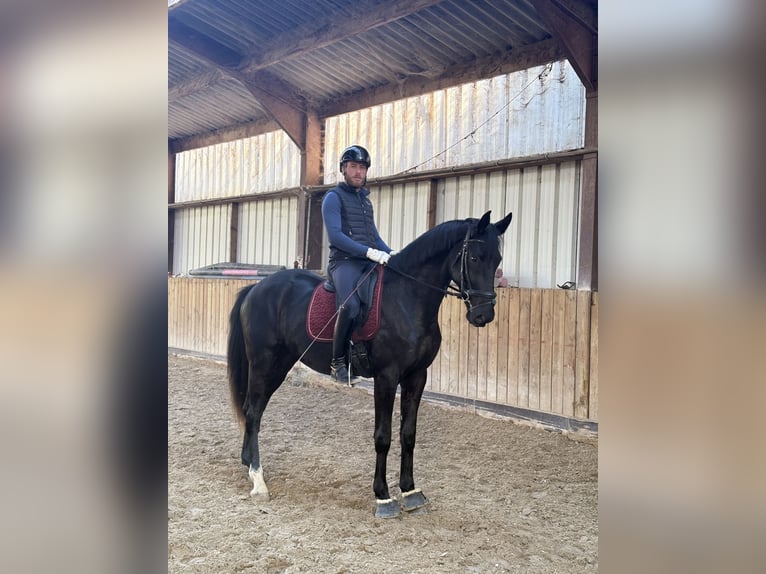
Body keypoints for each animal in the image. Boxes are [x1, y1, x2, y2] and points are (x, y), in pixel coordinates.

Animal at [227, 210, 513, 518]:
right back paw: (258, 480)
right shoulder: (386, 377)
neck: (407, 298)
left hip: (279, 364)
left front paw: (410, 491)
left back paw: (248, 463)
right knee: (254, 411)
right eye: (474, 258)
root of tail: (256, 287)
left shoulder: (416, 376)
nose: (483, 315)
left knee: (252, 410)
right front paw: (383, 497)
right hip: (265, 363)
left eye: (497, 259)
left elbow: (408, 435)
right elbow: (383, 437)